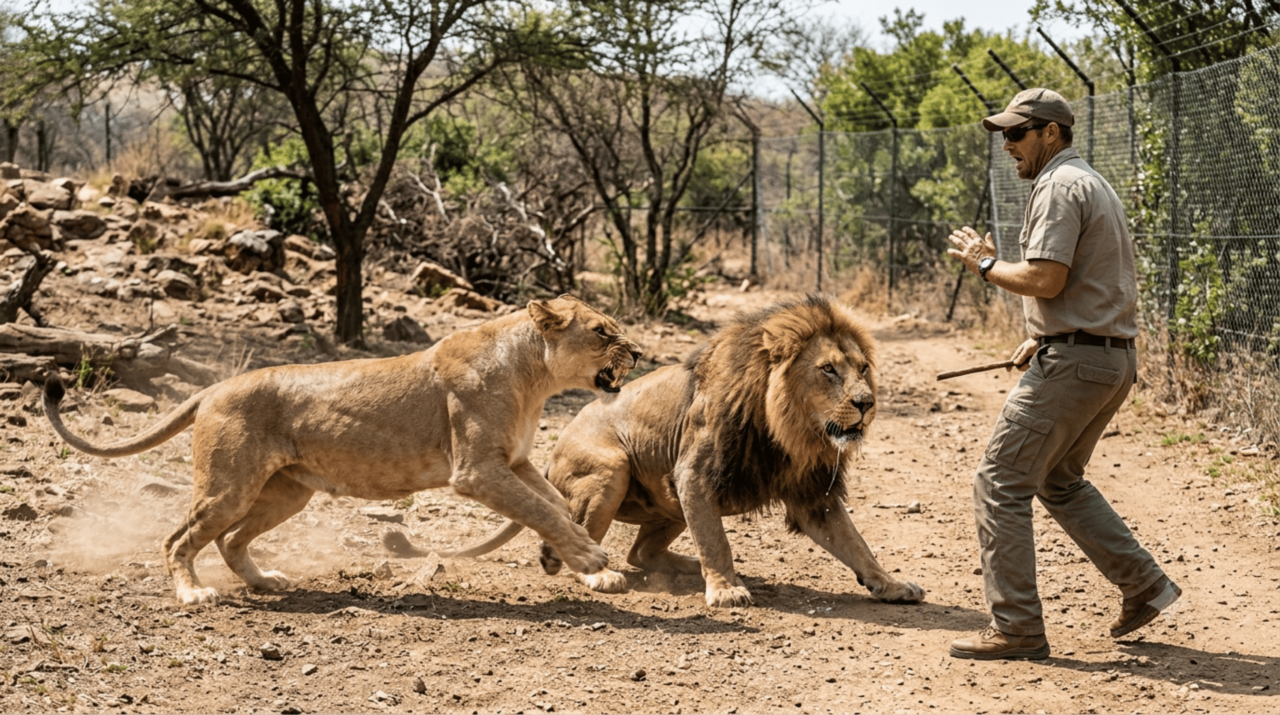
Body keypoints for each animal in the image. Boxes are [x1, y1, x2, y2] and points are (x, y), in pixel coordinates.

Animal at [43, 296, 641, 606]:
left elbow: (555, 507)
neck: (535, 378)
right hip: (228, 486)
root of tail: (213, 388)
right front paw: (590, 560)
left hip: (284, 493)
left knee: (232, 541)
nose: (637, 351)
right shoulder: (476, 471)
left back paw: (265, 581)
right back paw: (193, 594)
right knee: (178, 538)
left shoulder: (514, 462)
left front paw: (573, 562)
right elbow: (543, 509)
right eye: (602, 331)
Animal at [386, 295, 924, 608]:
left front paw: (891, 584)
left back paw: (683, 567)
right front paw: (726, 589)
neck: (790, 431)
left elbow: (856, 543)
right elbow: (717, 540)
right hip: (613, 469)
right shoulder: (695, 473)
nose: (867, 403)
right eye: (828, 370)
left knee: (641, 551)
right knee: (580, 543)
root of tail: (546, 454)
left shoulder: (813, 493)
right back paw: (598, 573)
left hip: (665, 496)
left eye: (862, 368)